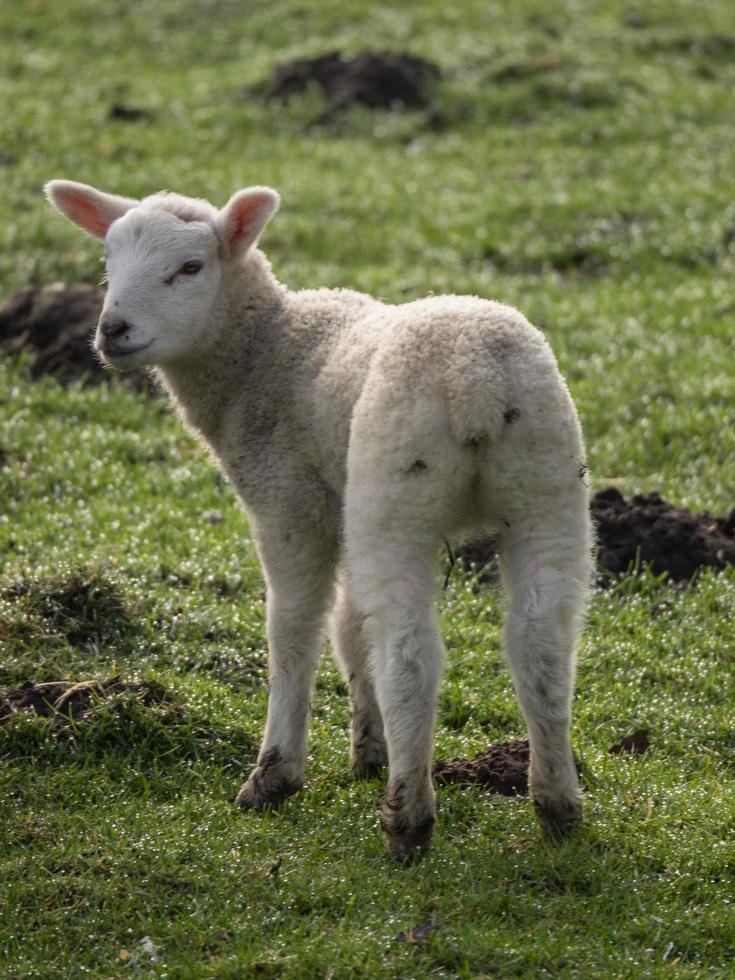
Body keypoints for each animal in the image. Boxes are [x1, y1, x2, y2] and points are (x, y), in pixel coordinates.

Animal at [44, 180, 592, 860]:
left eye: (189, 268)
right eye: (108, 261)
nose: (113, 330)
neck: (263, 352)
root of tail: (478, 382)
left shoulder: (290, 503)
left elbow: (294, 628)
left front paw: (276, 772)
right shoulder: (341, 500)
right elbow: (349, 627)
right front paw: (368, 749)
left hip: (397, 492)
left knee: (411, 653)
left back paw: (408, 819)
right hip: (547, 485)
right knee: (542, 643)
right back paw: (557, 805)